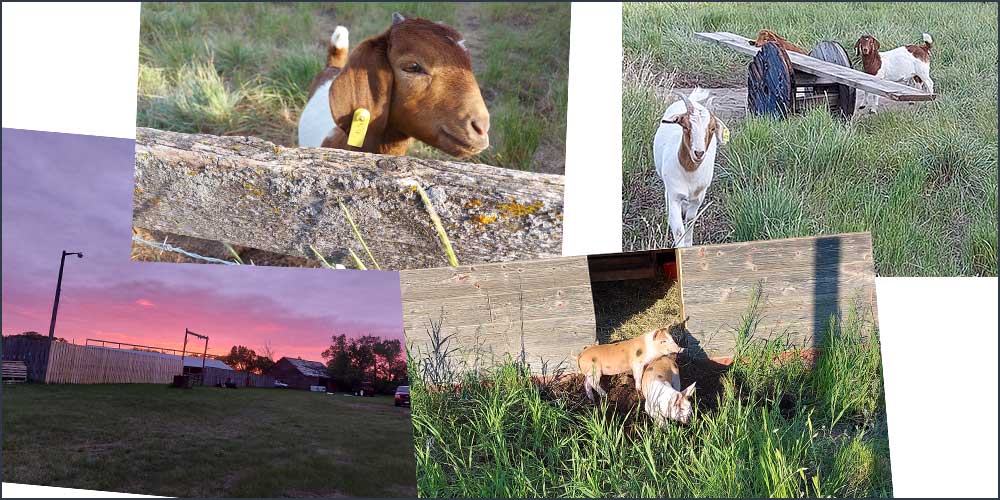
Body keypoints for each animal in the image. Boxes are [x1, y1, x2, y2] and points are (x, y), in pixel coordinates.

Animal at [653, 89, 729, 248]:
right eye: (685, 126)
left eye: (712, 128)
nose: (698, 153)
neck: (689, 172)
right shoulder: (674, 195)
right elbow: (678, 229)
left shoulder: (698, 198)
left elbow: (690, 222)